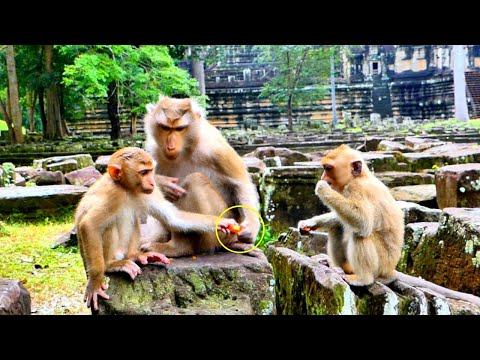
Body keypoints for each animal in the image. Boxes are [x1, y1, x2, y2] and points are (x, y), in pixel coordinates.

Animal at [76, 146, 239, 310]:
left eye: (150, 171)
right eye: (143, 172)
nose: (152, 182)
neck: (126, 189)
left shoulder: (149, 192)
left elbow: (174, 217)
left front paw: (223, 223)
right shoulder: (112, 195)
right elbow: (89, 225)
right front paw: (95, 283)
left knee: (133, 216)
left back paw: (135, 256)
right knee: (109, 224)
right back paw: (111, 265)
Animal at [142, 95, 260, 256]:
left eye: (179, 129)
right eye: (165, 127)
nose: (170, 146)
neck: (187, 147)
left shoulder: (215, 148)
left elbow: (241, 184)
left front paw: (251, 230)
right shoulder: (153, 150)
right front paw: (164, 184)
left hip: (219, 230)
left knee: (194, 180)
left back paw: (179, 247)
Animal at [298, 144, 480, 306]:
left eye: (328, 168)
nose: (323, 178)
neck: (359, 177)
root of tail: (390, 270)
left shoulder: (357, 189)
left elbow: (363, 222)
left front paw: (323, 189)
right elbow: (340, 220)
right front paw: (309, 223)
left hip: (381, 265)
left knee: (361, 235)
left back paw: (362, 279)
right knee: (338, 228)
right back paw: (340, 268)